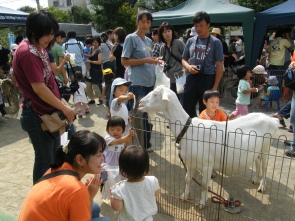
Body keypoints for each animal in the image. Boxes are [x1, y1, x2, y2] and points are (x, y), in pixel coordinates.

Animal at [139, 85, 280, 208]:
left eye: (155, 94)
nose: (140, 103)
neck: (188, 130)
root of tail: (272, 120)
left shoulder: (207, 164)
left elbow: (203, 184)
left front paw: (202, 203)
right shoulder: (190, 162)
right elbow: (187, 179)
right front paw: (184, 196)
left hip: (266, 147)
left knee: (264, 166)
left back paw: (262, 186)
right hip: (257, 149)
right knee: (257, 161)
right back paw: (256, 179)